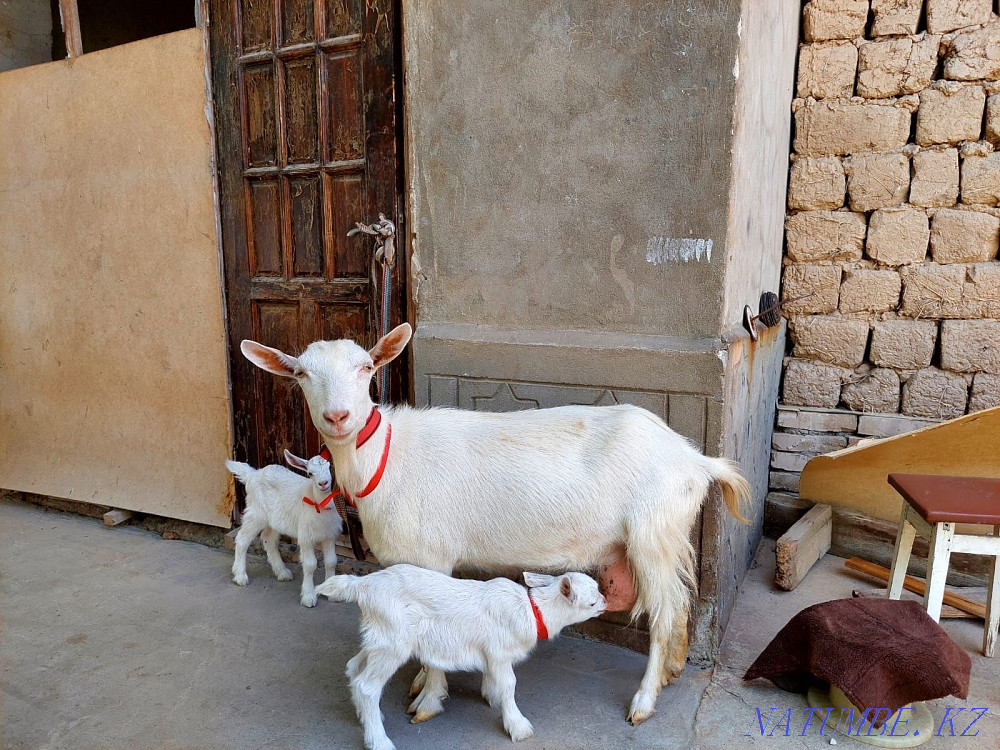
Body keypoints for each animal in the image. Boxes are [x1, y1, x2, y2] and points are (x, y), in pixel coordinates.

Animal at [226, 450, 341, 607]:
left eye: (329, 467)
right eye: (310, 473)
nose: (323, 483)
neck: (318, 505)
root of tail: (253, 474)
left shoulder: (329, 535)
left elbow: (331, 562)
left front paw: (332, 592)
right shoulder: (305, 536)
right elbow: (310, 564)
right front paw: (308, 597)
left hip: (275, 520)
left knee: (268, 539)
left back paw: (282, 573)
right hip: (256, 513)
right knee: (242, 538)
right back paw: (240, 576)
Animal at [241, 323, 750, 724]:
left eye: (366, 367)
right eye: (301, 374)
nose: (338, 417)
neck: (386, 458)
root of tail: (695, 459)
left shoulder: (432, 557)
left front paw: (428, 699)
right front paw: (421, 683)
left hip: (652, 533)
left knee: (664, 615)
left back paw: (644, 701)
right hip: (664, 536)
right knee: (679, 606)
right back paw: (672, 672)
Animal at [317, 565, 606, 750]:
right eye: (591, 602)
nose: (606, 603)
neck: (532, 611)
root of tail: (362, 585)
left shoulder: (490, 652)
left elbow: (494, 679)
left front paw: (491, 696)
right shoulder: (499, 652)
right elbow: (509, 684)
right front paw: (518, 726)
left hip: (378, 638)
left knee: (354, 668)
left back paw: (368, 718)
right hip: (393, 642)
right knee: (367, 686)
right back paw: (379, 741)